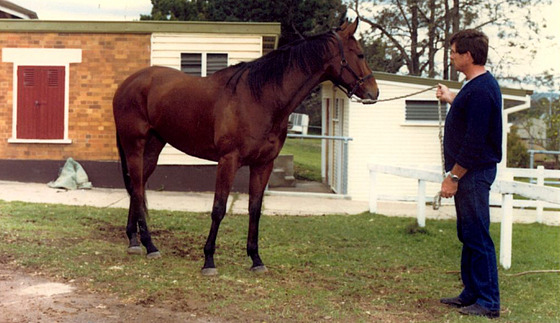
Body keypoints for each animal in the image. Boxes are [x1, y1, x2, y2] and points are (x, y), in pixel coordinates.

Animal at [111, 18, 378, 276]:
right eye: (360, 54)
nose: (373, 92)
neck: (259, 98)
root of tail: (126, 84)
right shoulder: (228, 161)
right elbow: (219, 208)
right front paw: (209, 260)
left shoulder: (263, 164)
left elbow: (255, 209)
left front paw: (256, 259)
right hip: (135, 146)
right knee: (137, 188)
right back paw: (149, 245)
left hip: (153, 148)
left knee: (138, 187)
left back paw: (135, 241)